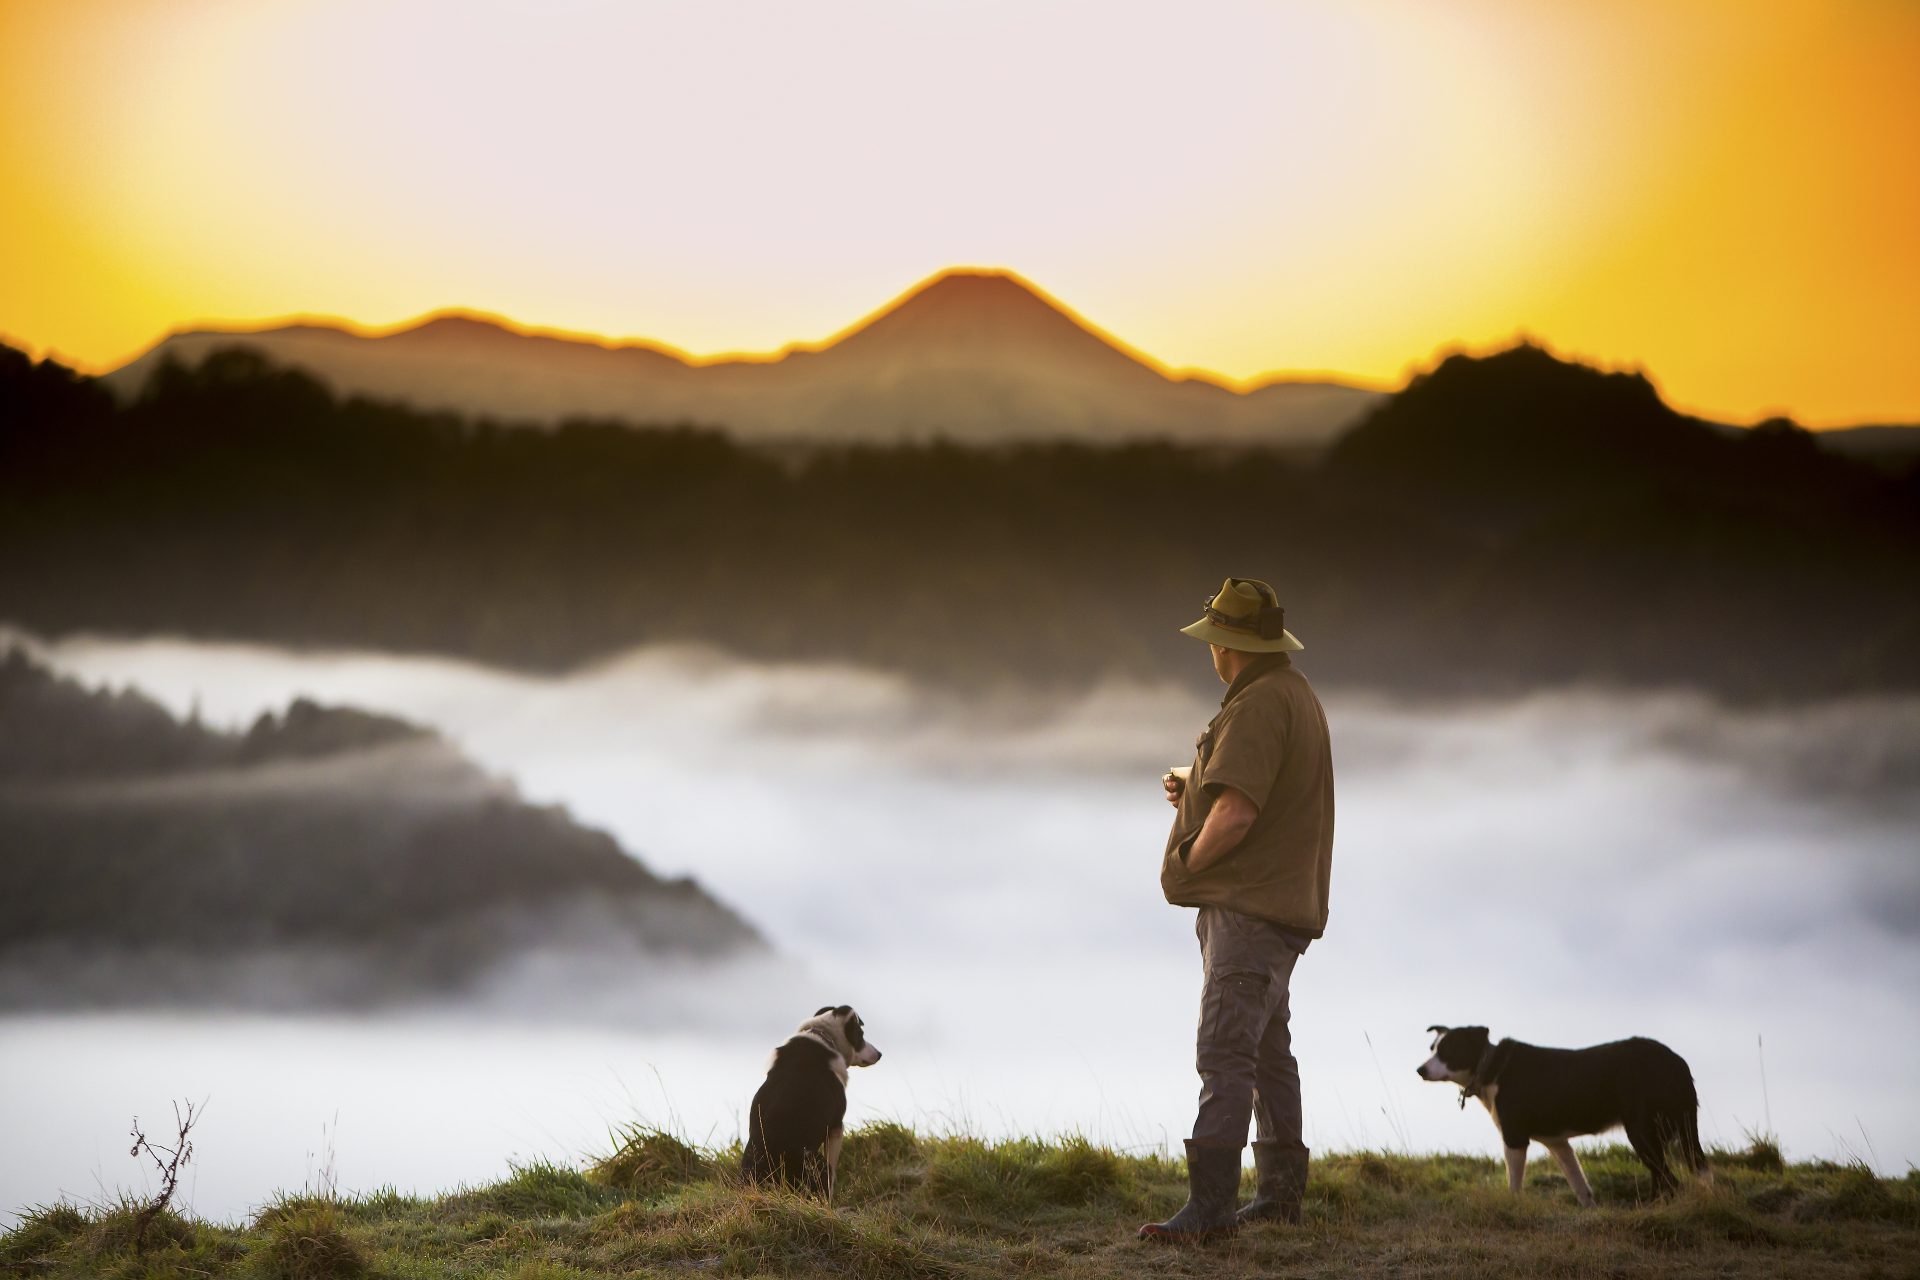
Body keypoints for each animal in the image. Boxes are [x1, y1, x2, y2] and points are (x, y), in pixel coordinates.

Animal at [741, 997, 883, 1205]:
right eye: (861, 1034)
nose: (879, 1054)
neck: (823, 1036)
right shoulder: (836, 1127)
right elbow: (834, 1170)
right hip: (816, 1163)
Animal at [1413, 1028, 1712, 1205]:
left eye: (1448, 1051)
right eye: (1432, 1048)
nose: (1419, 1070)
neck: (1490, 1067)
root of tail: (1676, 1062)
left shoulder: (1515, 1137)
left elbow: (1514, 1183)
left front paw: (1513, 1208)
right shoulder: (1557, 1142)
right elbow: (1579, 1184)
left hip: (1642, 1131)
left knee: (1669, 1180)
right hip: (1680, 1128)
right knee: (1687, 1170)